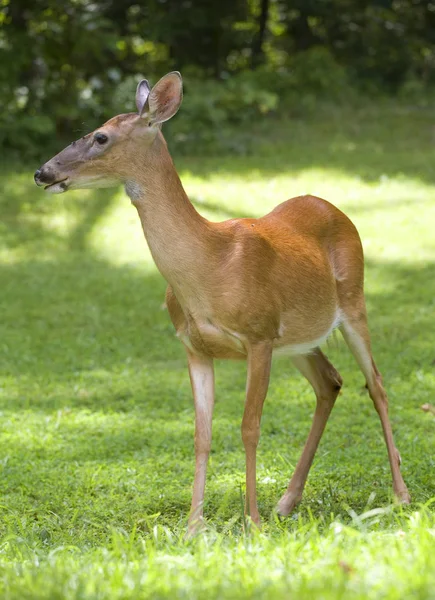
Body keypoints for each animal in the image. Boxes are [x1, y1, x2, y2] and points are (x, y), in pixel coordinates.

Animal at [35, 71, 410, 536]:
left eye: (100, 137)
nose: (42, 172)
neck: (208, 268)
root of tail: (331, 206)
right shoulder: (194, 346)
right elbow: (202, 433)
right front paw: (194, 525)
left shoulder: (259, 335)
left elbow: (249, 427)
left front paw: (252, 521)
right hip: (299, 339)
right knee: (331, 382)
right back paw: (287, 501)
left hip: (354, 303)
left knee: (376, 384)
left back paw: (400, 494)